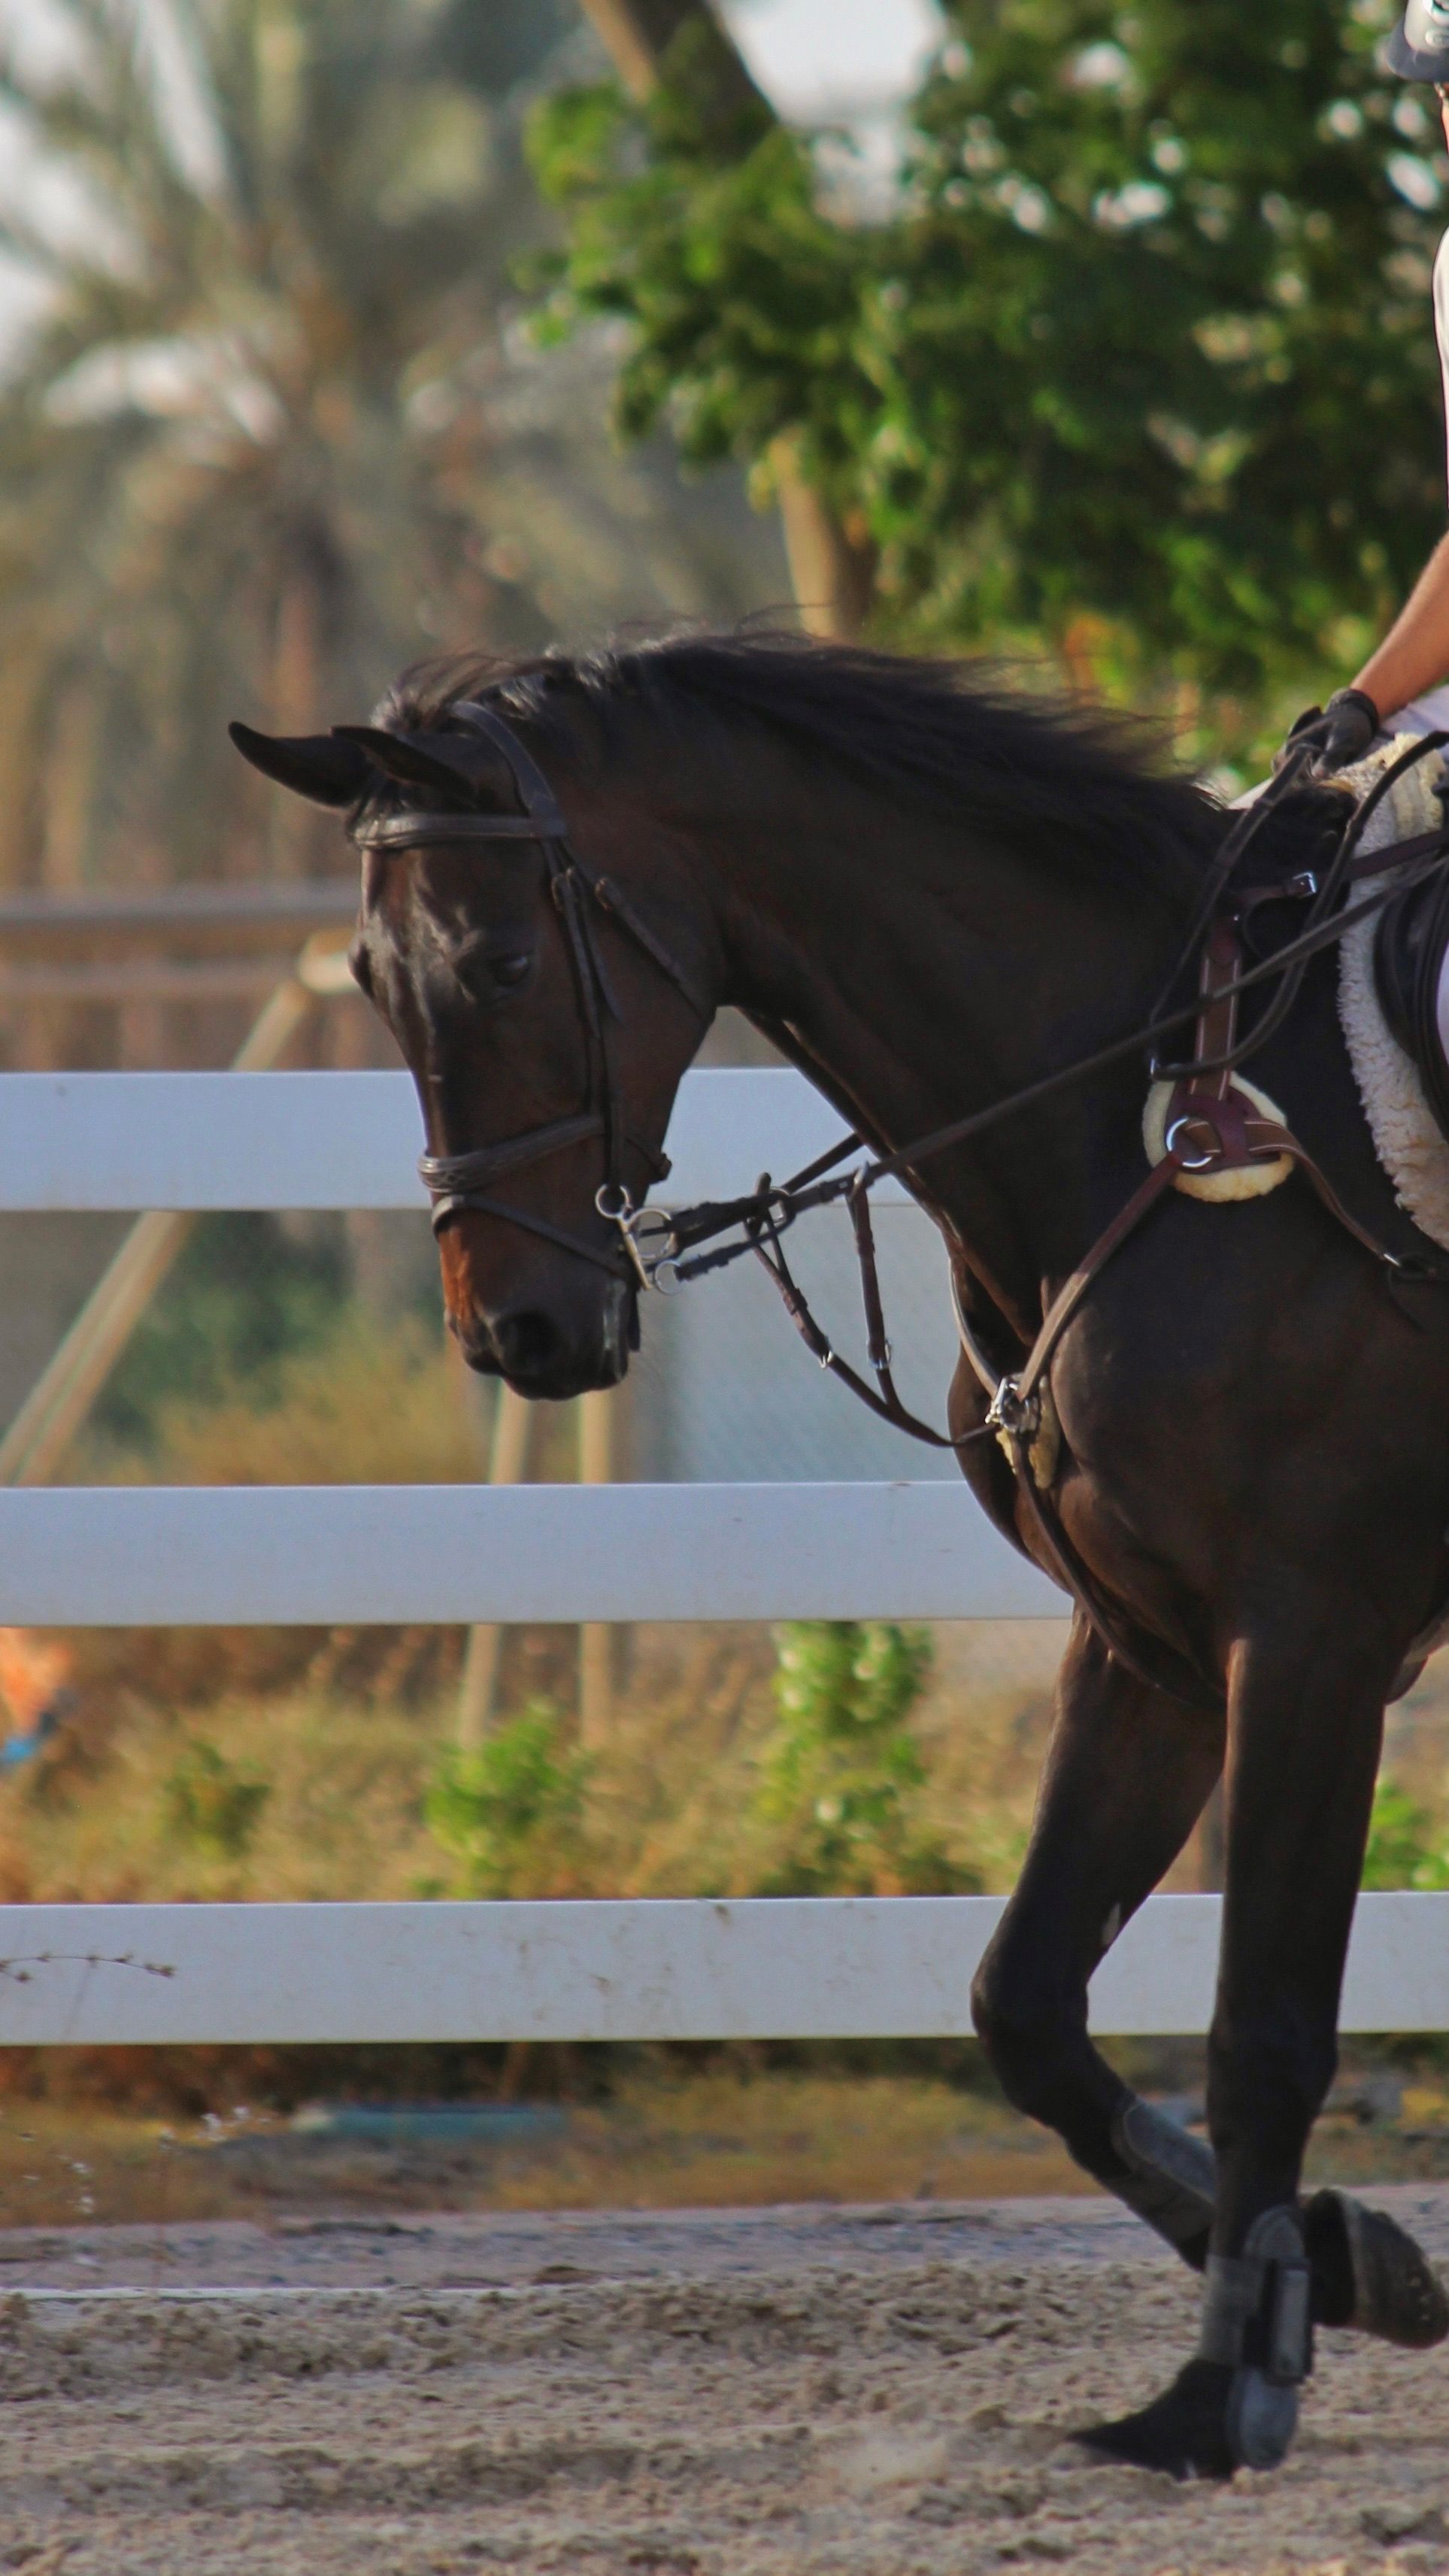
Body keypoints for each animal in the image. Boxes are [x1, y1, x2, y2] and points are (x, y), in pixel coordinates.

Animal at [232, 630, 1449, 2479]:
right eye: (372, 980)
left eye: (503, 962)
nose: (515, 1333)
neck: (1145, 1110)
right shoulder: (1150, 1649)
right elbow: (1024, 2007)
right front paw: (1345, 2260)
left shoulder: (1307, 1640)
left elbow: (1260, 2027)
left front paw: (1222, 2390)